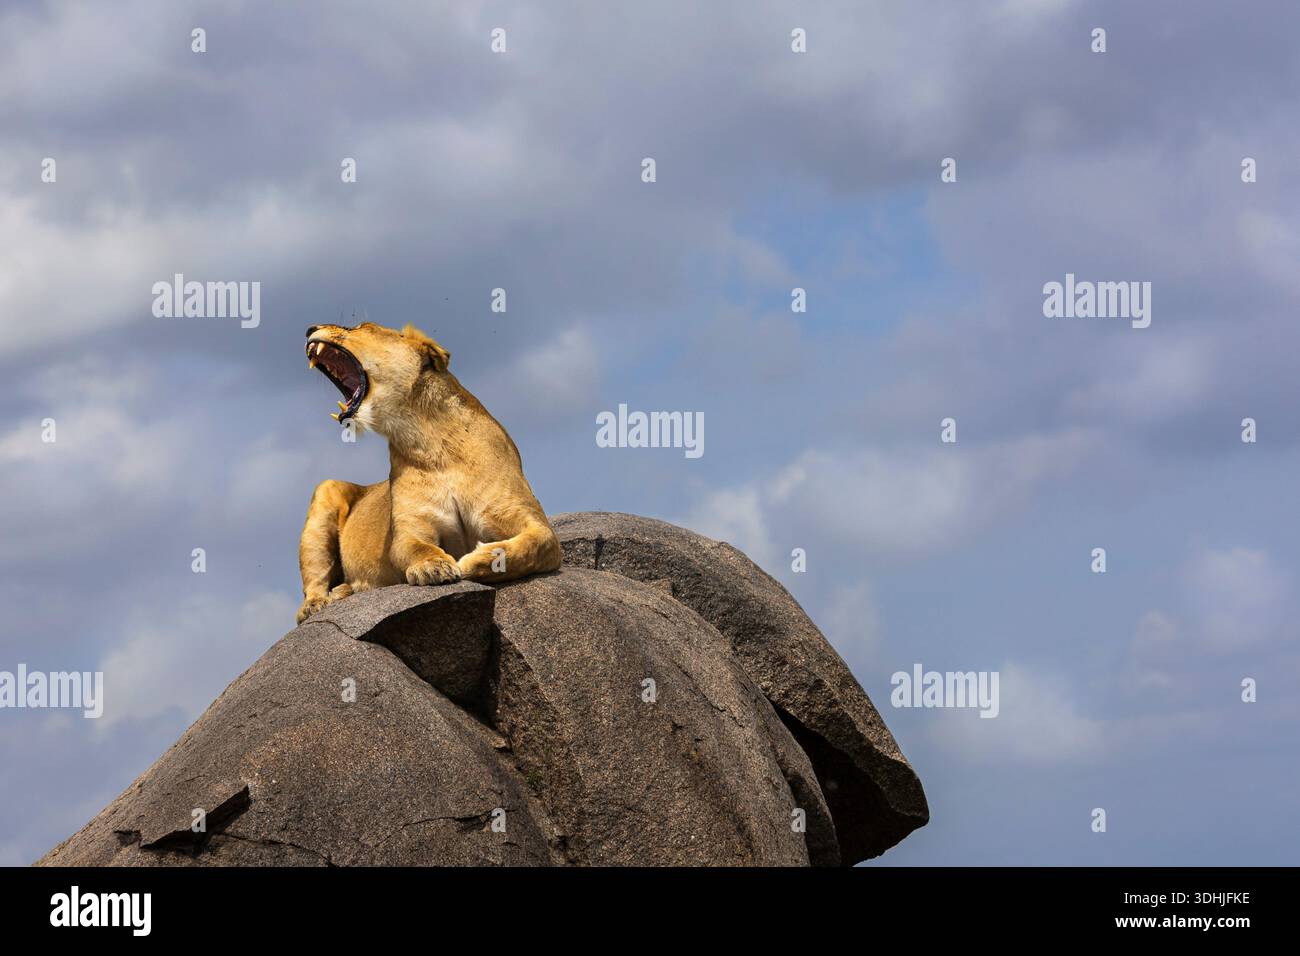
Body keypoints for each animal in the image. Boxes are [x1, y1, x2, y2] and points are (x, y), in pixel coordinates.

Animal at [295, 321, 561, 624]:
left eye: (360, 327)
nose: (309, 329)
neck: (432, 442)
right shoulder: (410, 529)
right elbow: (416, 547)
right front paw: (434, 566)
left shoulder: (528, 519)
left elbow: (535, 544)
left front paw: (479, 560)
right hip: (326, 489)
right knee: (312, 586)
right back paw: (321, 602)